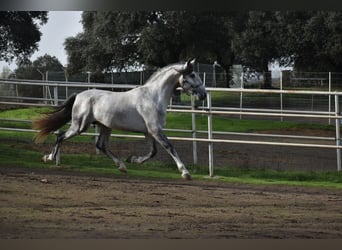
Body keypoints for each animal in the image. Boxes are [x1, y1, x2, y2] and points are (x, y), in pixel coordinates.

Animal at [33, 58, 206, 180]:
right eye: (192, 75)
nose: (204, 94)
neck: (153, 97)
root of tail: (79, 95)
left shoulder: (149, 132)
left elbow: (153, 152)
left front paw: (133, 159)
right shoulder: (155, 130)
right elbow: (169, 147)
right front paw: (185, 173)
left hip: (105, 126)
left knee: (101, 145)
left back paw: (122, 166)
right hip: (79, 126)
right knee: (61, 137)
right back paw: (49, 158)